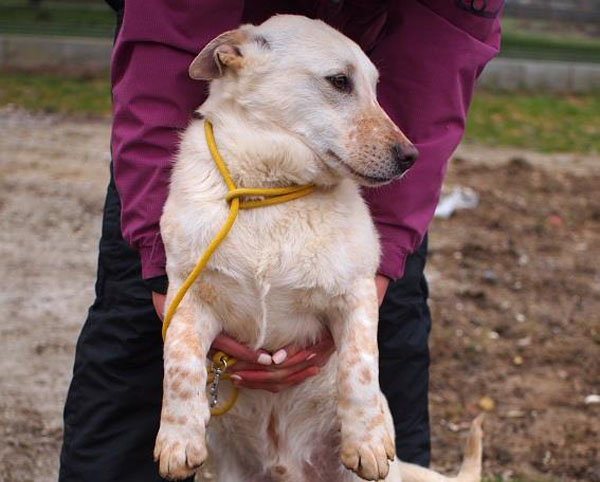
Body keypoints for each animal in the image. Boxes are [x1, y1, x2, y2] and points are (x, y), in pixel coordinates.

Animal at [154, 15, 482, 482]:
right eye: (340, 81)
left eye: (376, 88)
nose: (411, 157)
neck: (273, 190)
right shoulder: (187, 296)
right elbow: (179, 367)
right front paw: (178, 441)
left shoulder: (357, 295)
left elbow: (359, 367)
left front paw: (366, 441)